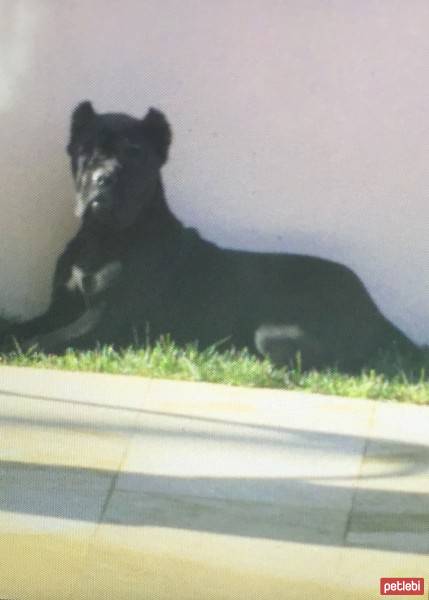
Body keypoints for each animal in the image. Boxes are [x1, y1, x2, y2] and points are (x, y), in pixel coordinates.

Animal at [0, 101, 422, 372]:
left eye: (135, 152)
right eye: (85, 150)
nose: (104, 178)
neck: (103, 236)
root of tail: (375, 309)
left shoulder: (103, 319)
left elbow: (43, 340)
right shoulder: (60, 308)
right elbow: (23, 328)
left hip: (275, 334)